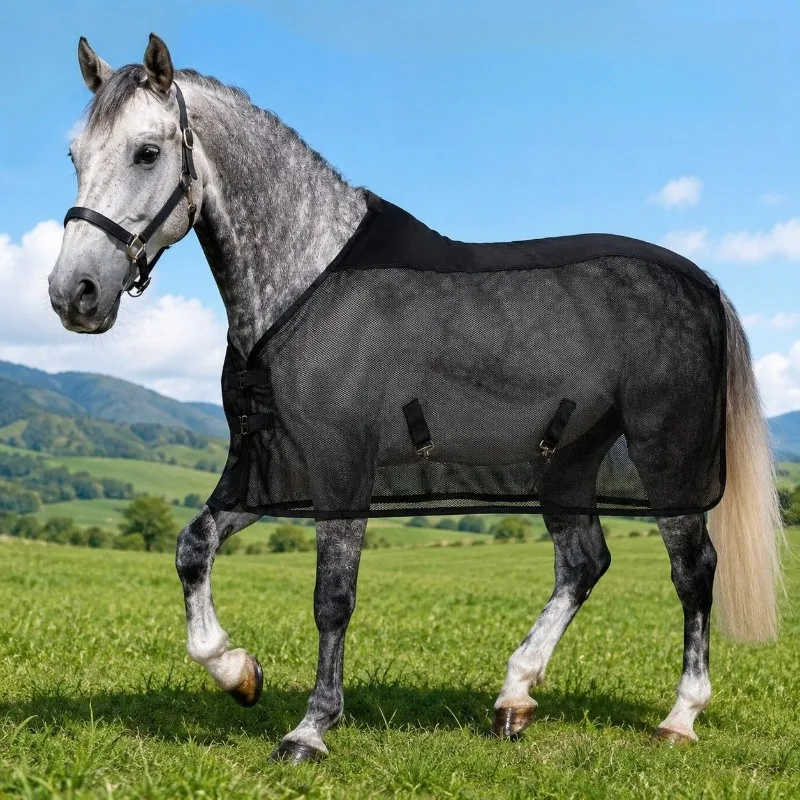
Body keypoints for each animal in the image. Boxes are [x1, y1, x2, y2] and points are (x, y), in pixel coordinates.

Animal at [48, 34, 783, 764]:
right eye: (75, 155)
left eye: (147, 152)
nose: (73, 294)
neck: (305, 278)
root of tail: (704, 285)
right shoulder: (266, 466)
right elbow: (191, 547)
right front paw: (238, 672)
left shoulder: (341, 465)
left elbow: (332, 596)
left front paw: (310, 728)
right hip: (570, 460)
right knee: (584, 562)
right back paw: (514, 696)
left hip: (667, 456)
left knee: (693, 571)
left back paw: (680, 716)